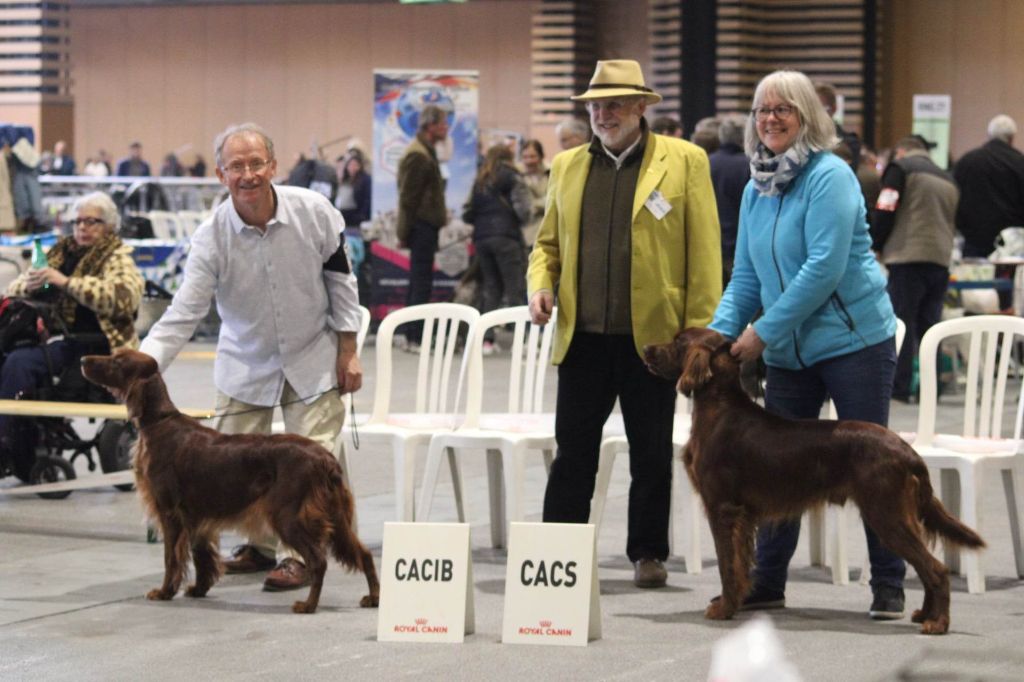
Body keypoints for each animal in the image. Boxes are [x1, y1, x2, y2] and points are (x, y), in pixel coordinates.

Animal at [81, 348, 380, 614]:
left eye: (117, 361)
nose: (83, 360)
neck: (159, 423)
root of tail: (325, 459)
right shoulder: (196, 514)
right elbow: (201, 556)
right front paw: (198, 589)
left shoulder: (170, 512)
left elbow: (171, 558)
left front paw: (164, 591)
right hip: (336, 517)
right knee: (364, 554)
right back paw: (373, 598)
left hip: (288, 516)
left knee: (318, 561)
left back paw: (308, 605)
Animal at [643, 325, 987, 630]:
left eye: (677, 342)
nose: (645, 348)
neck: (720, 408)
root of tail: (908, 451)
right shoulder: (742, 515)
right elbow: (740, 564)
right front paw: (736, 602)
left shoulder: (723, 508)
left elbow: (728, 565)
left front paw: (723, 609)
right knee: (928, 568)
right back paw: (925, 614)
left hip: (887, 515)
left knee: (936, 569)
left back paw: (937, 623)